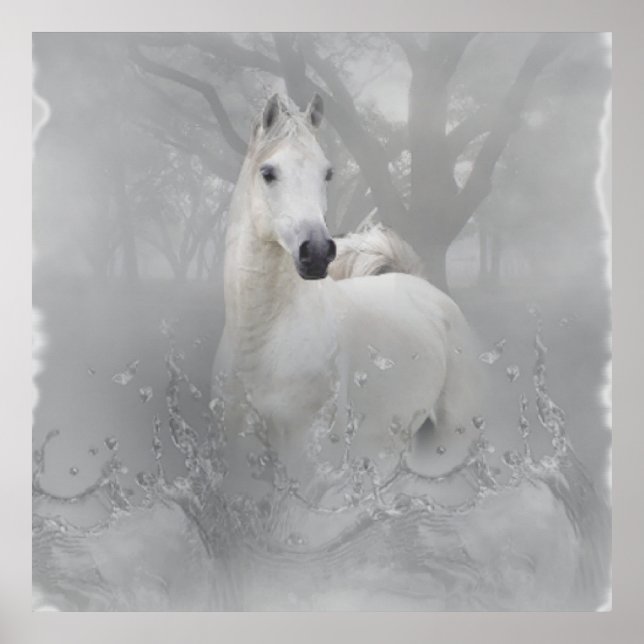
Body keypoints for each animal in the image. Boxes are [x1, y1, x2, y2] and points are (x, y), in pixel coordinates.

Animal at [213, 93, 481, 485]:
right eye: (268, 173)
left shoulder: (309, 465)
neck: (262, 344)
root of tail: (420, 286)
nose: (317, 252)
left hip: (448, 441)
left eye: (327, 173)